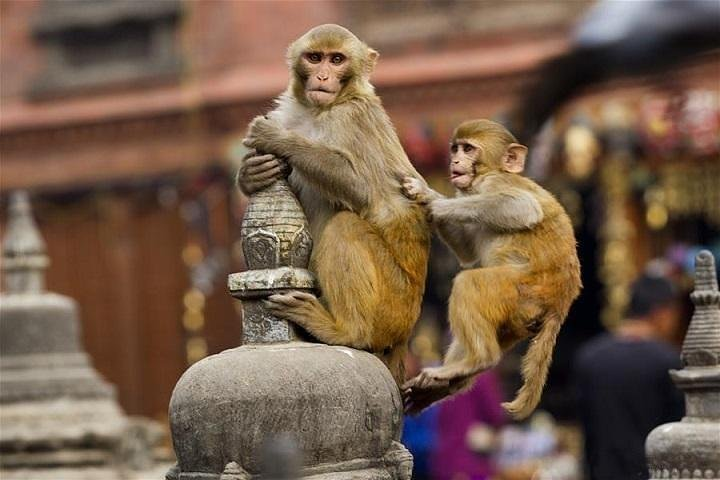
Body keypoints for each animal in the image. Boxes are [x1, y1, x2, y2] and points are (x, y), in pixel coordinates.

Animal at [237, 24, 430, 385]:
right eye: (315, 58)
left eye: (337, 59)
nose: (323, 76)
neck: (317, 111)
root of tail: (406, 335)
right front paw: (251, 174)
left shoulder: (352, 117)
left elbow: (360, 187)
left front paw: (277, 139)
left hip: (393, 306)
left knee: (346, 225)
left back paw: (346, 331)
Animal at [400, 119, 581, 419]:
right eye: (455, 148)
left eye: (469, 149)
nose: (455, 160)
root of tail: (560, 303)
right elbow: (467, 252)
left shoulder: (494, 182)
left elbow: (521, 207)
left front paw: (430, 197)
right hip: (517, 320)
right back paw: (443, 385)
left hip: (519, 291)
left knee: (470, 284)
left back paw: (478, 359)